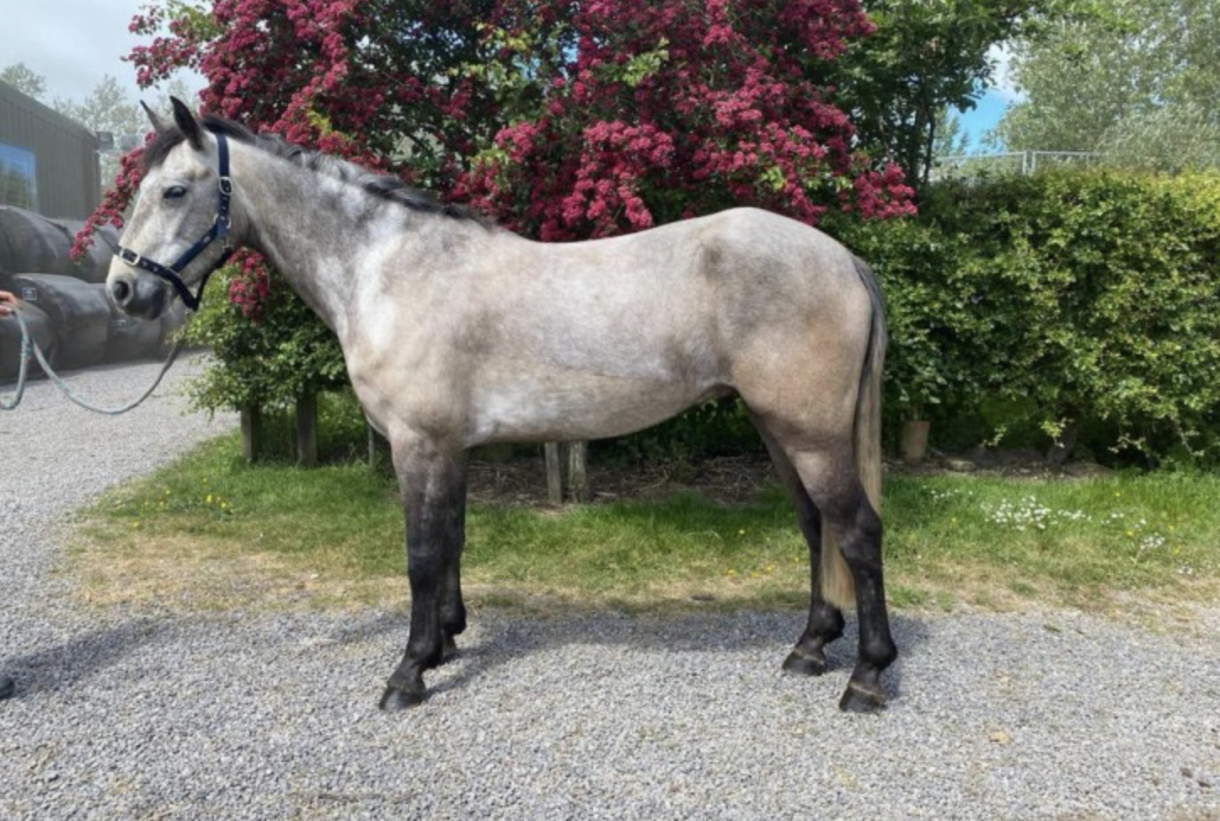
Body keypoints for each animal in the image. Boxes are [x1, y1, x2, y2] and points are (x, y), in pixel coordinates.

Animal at [108, 99, 897, 713]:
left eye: (174, 191)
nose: (122, 289)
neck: (389, 270)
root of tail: (843, 258)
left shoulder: (418, 442)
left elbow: (421, 555)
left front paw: (408, 673)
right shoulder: (449, 447)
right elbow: (452, 542)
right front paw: (445, 643)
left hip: (812, 434)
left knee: (857, 532)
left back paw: (865, 676)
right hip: (780, 429)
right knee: (816, 529)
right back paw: (809, 647)